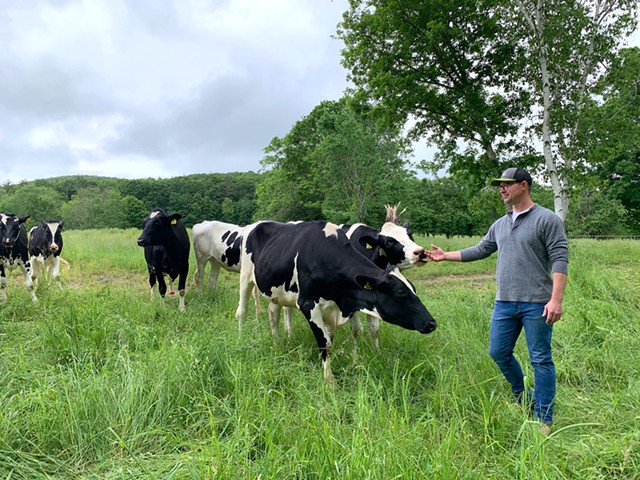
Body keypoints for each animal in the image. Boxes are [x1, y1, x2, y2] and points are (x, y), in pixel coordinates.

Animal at [238, 222, 438, 386]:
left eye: (410, 235)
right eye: (400, 292)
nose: (431, 323)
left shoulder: (343, 305)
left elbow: (352, 334)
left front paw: (371, 357)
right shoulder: (308, 304)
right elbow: (326, 342)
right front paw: (330, 380)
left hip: (277, 293)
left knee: (273, 314)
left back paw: (277, 343)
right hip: (245, 278)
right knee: (242, 311)